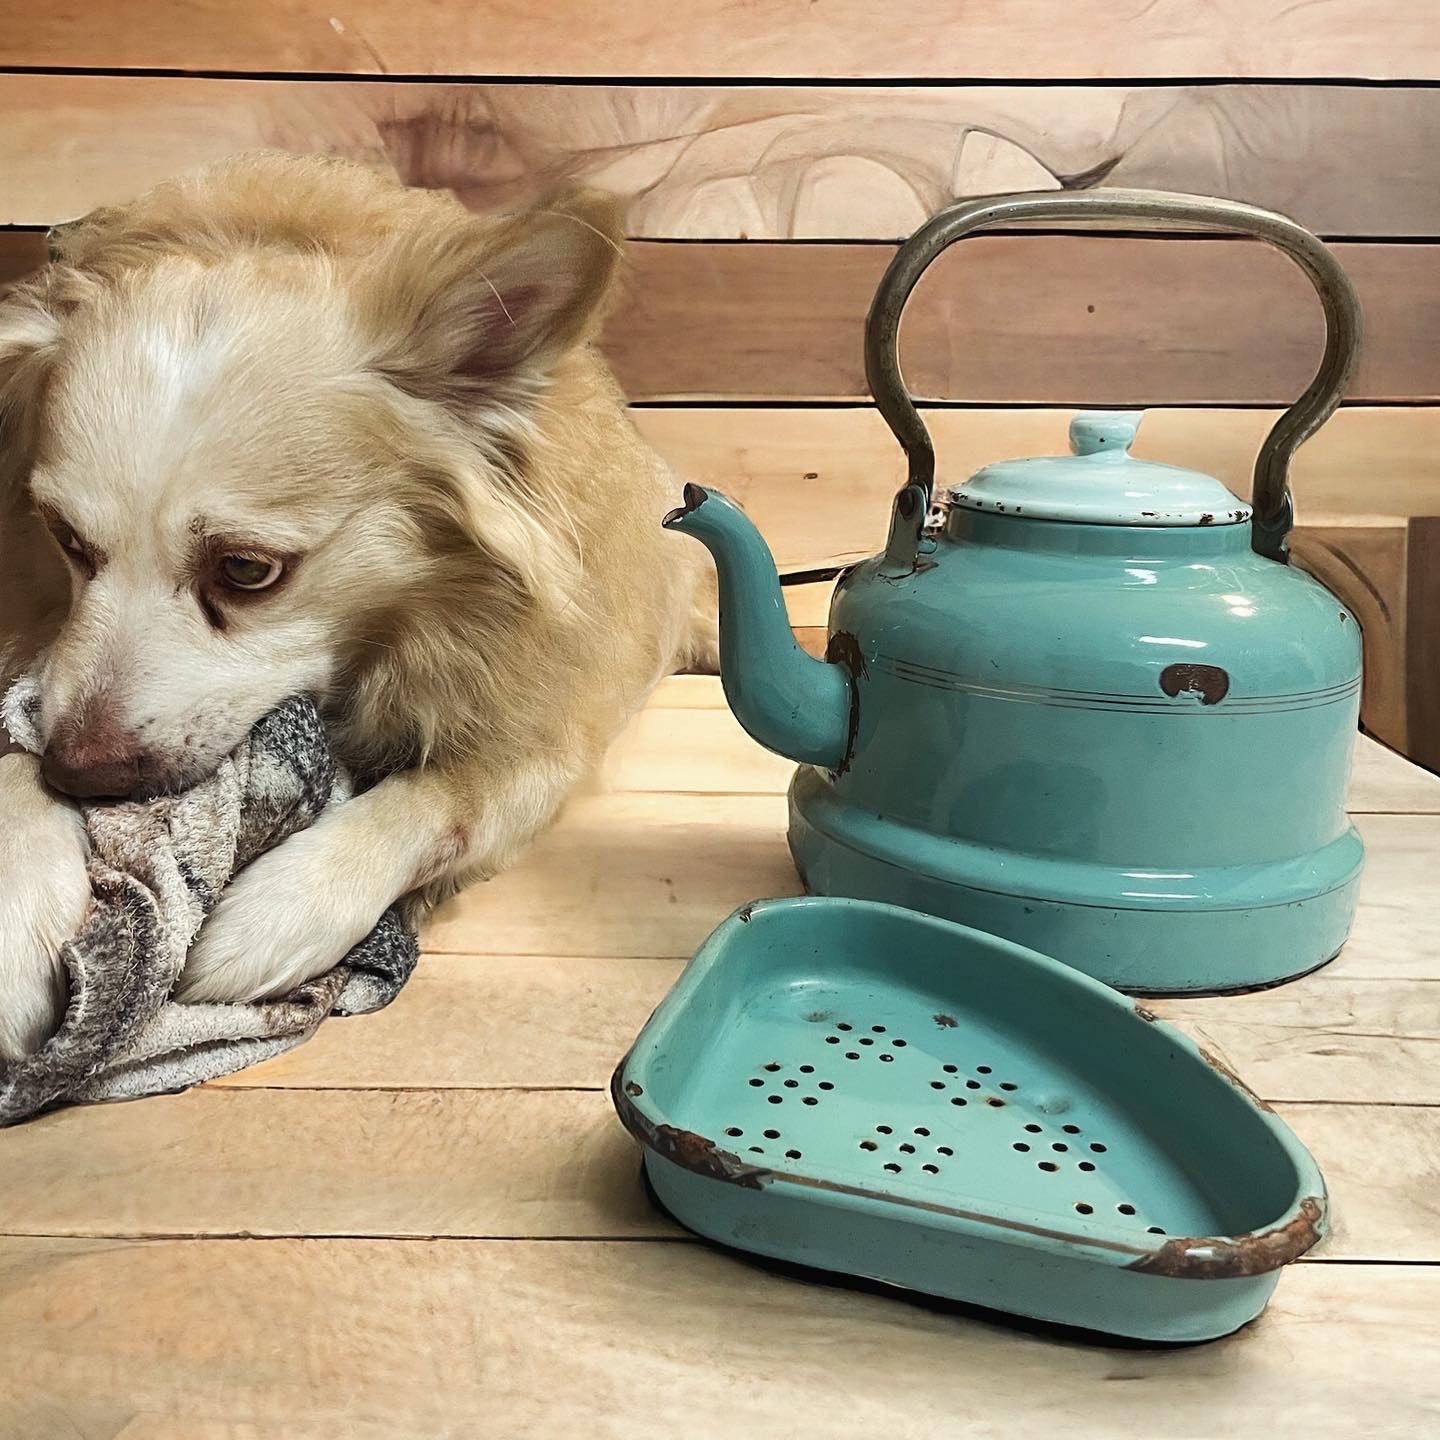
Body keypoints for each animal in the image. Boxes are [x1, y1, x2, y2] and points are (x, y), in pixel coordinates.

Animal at [0, 154, 717, 1059]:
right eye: (65, 539)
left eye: (246, 570)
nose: (78, 775)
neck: (401, 631)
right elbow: (21, 726)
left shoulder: (544, 738)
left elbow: (443, 797)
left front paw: (284, 909)